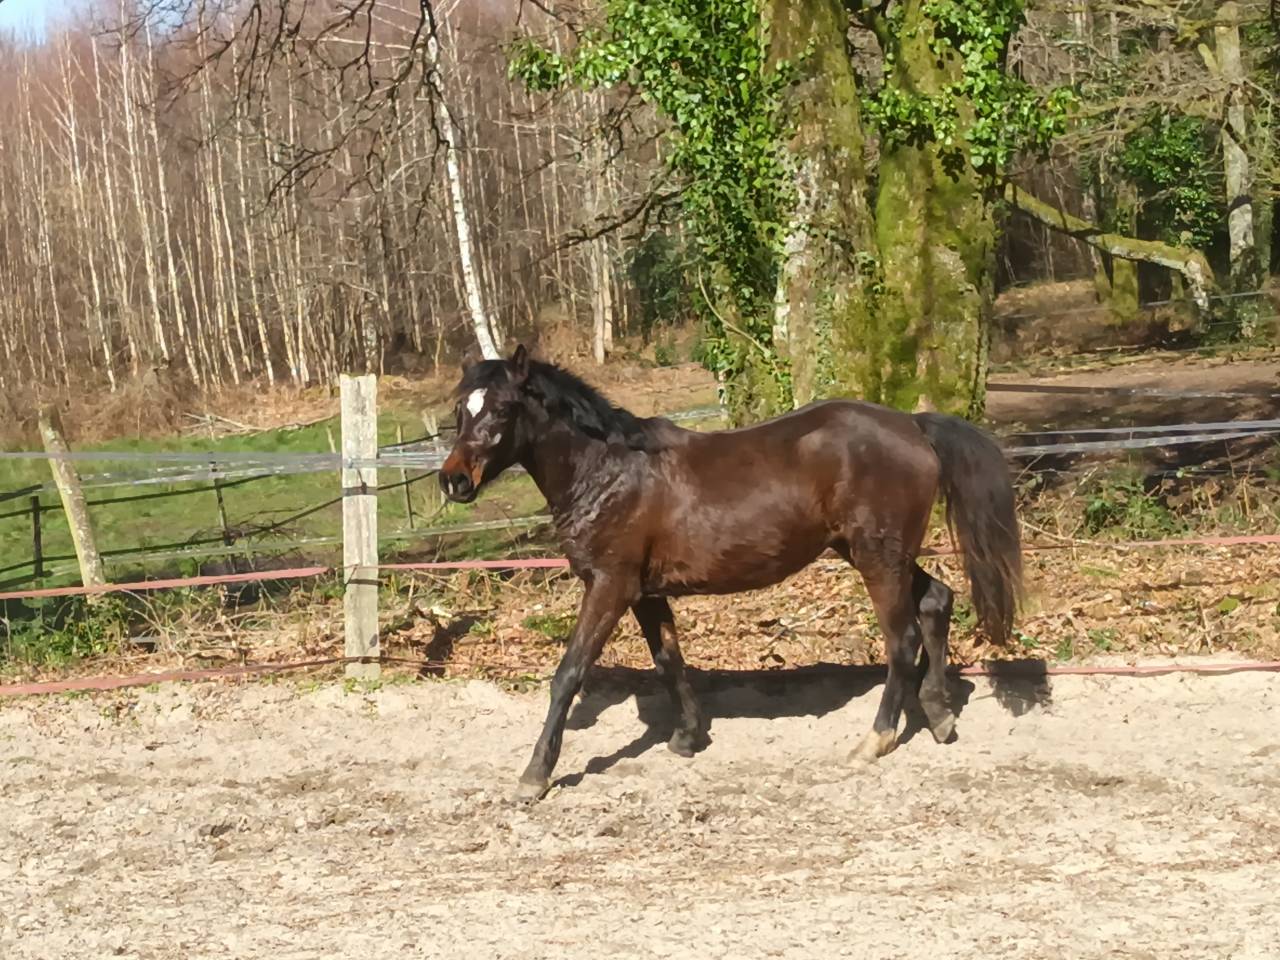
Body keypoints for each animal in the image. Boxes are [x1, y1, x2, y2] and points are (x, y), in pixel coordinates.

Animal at [439, 345, 1023, 802]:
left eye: (503, 408)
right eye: (461, 409)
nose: (453, 482)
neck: (608, 473)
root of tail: (914, 426)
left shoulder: (609, 585)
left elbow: (568, 674)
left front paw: (534, 776)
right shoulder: (646, 593)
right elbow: (669, 661)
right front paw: (688, 737)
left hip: (877, 558)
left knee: (902, 640)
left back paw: (873, 741)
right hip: (875, 553)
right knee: (937, 601)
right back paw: (939, 715)